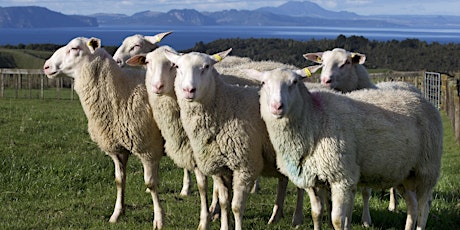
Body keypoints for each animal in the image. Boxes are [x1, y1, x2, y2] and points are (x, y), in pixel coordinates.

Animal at [42, 37, 166, 228]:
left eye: (75, 48)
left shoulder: (148, 149)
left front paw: (159, 219)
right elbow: (119, 180)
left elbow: (151, 184)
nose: (46, 66)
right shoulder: (117, 149)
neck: (123, 92)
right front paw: (117, 214)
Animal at [164, 48, 308, 230]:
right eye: (177, 66)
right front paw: (224, 225)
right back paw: (275, 217)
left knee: (299, 186)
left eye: (206, 66)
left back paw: (297, 218)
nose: (189, 90)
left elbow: (236, 207)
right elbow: (224, 202)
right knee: (283, 180)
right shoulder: (219, 167)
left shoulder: (244, 166)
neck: (226, 106)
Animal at [246, 67, 444, 230]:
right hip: (405, 173)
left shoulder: (341, 177)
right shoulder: (311, 178)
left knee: (423, 207)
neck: (315, 119)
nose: (277, 107)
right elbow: (316, 213)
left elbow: (337, 220)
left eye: (295, 82)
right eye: (263, 83)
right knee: (412, 205)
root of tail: (423, 99)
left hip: (427, 168)